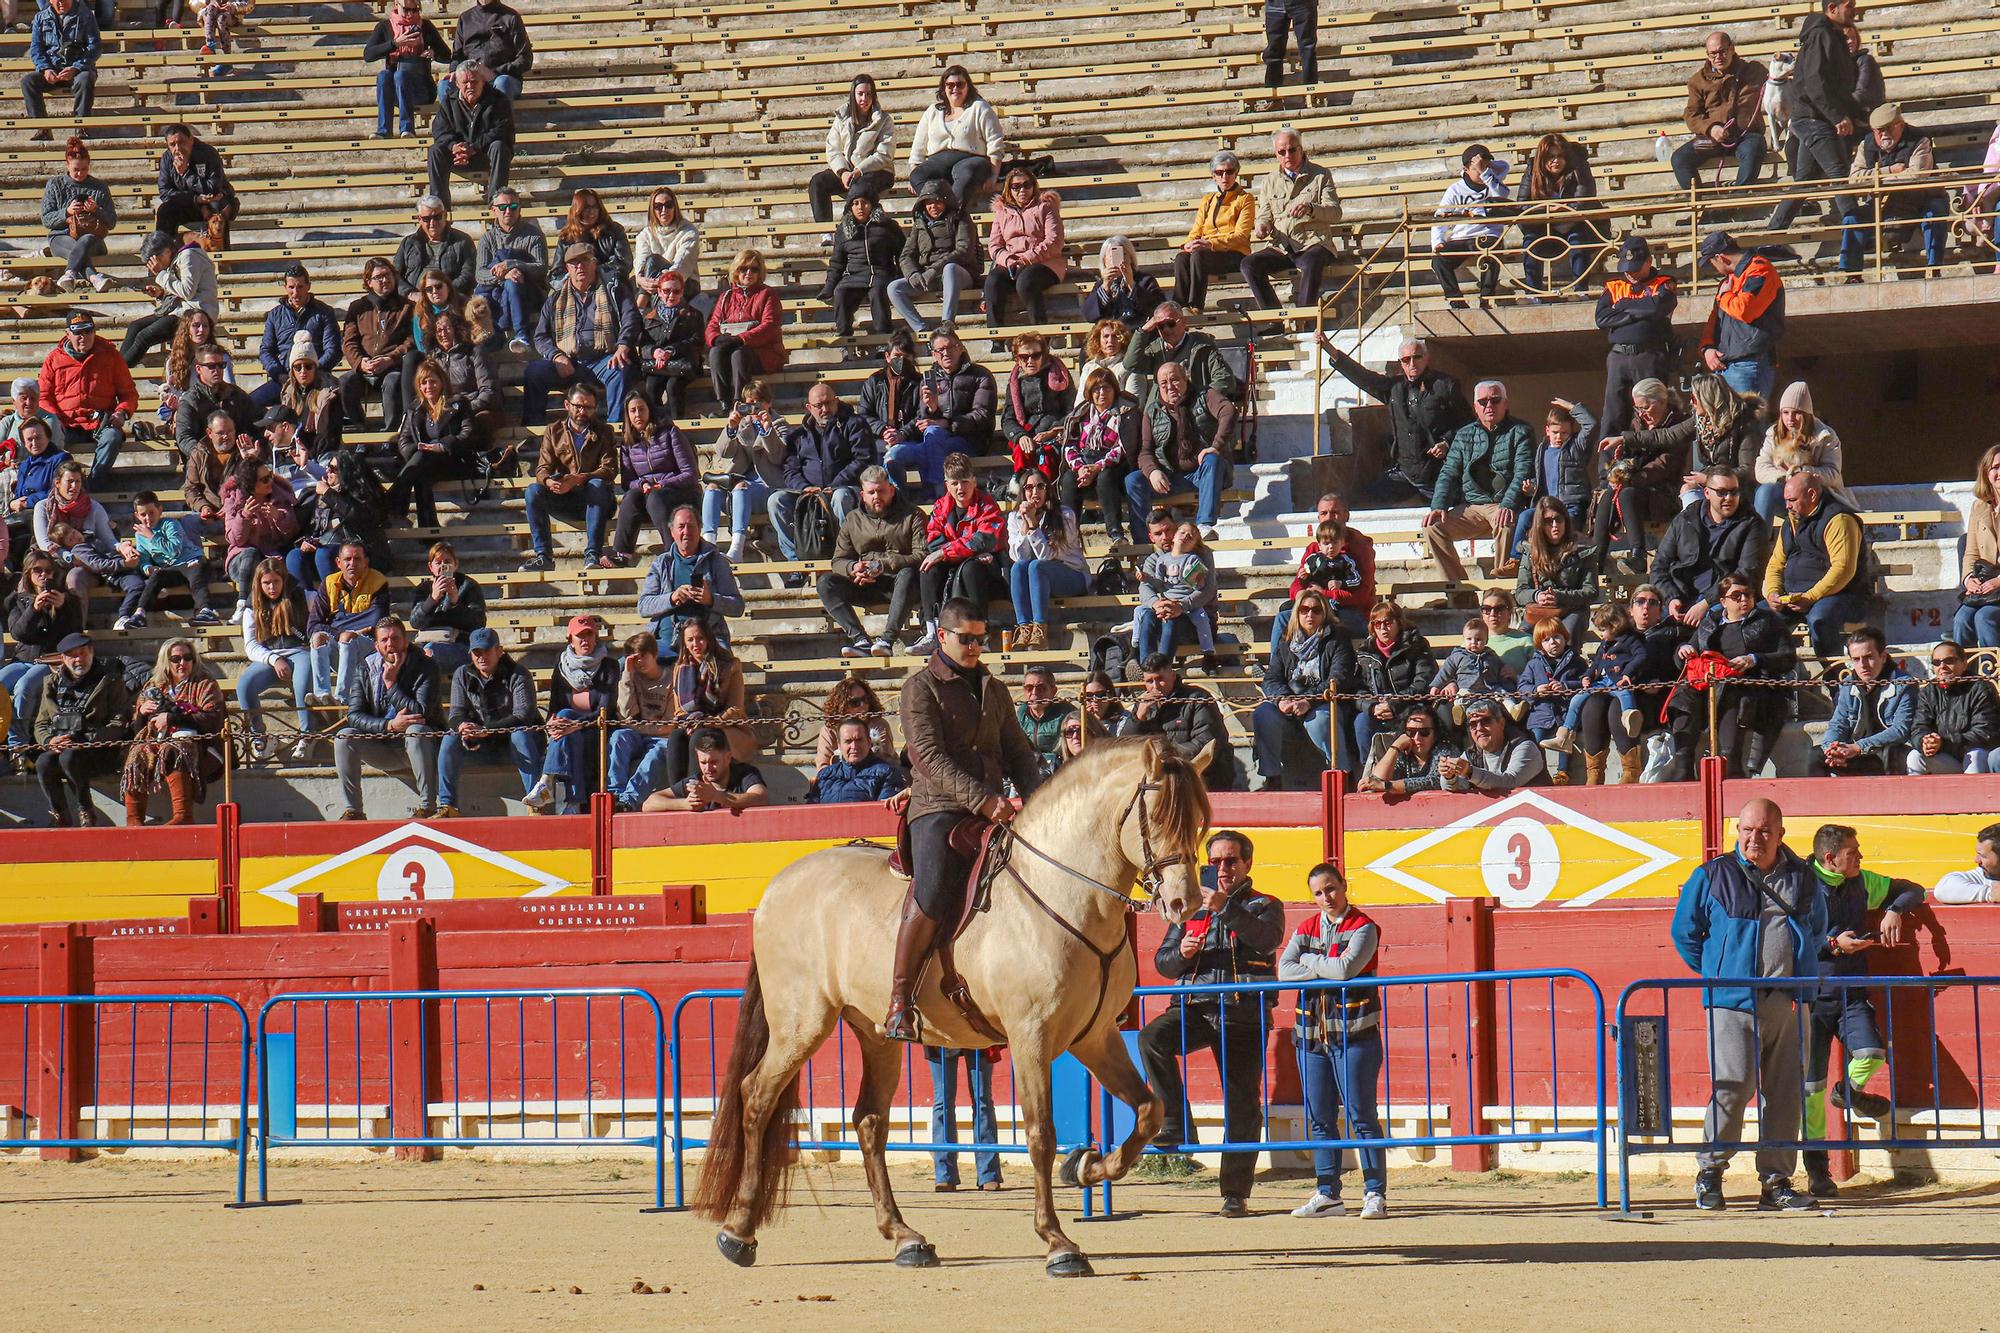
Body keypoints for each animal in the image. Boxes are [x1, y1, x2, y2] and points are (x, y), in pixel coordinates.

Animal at [696, 736, 1208, 1280]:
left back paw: (904, 1237)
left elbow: (1149, 1110)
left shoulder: (1095, 1036)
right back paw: (738, 1232)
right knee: (756, 1097)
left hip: (876, 1035)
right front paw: (1057, 1242)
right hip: (802, 1025)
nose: (1186, 904)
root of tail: (777, 885)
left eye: (1199, 818)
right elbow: (1040, 1133)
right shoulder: (1031, 1038)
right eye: (1157, 815)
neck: (1063, 893)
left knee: (869, 1121)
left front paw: (1088, 1167)